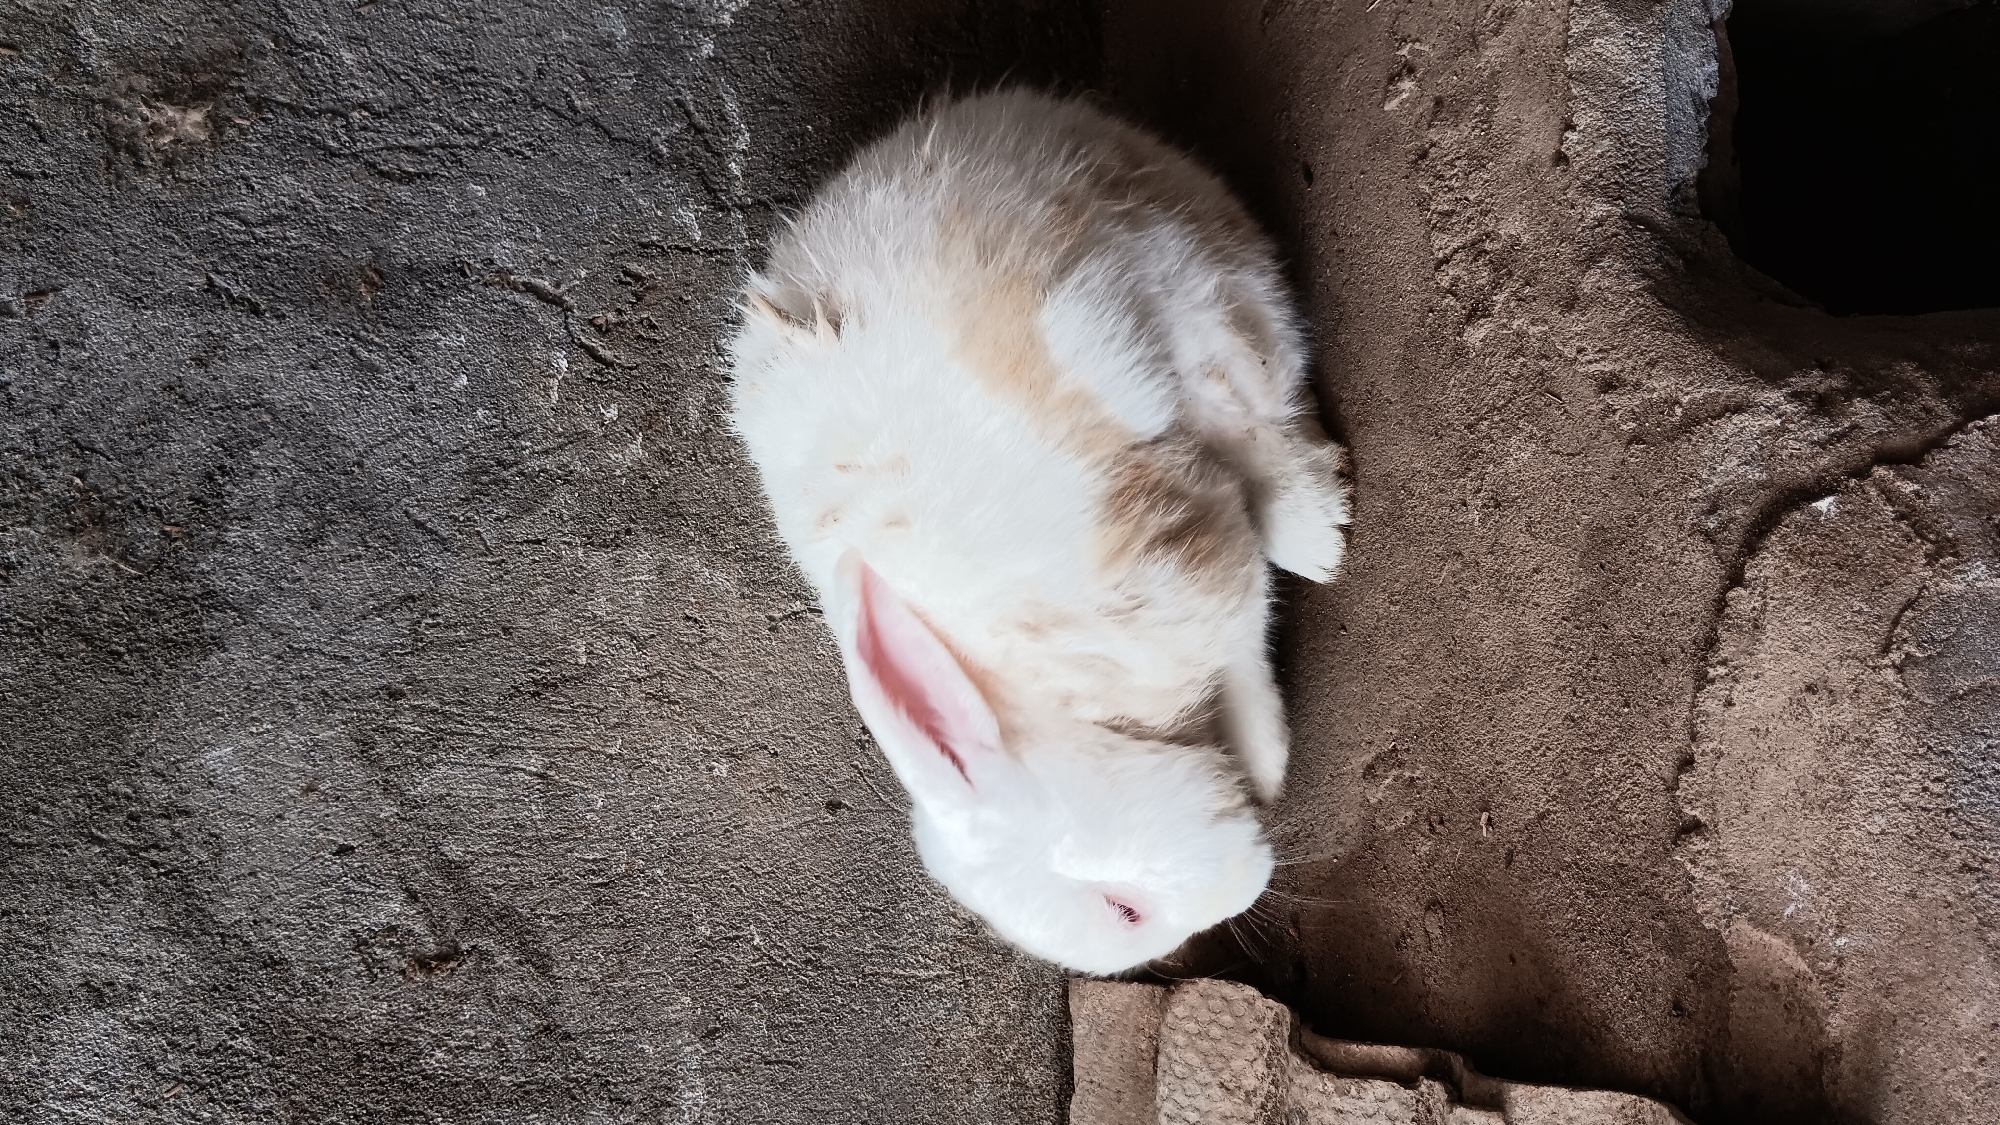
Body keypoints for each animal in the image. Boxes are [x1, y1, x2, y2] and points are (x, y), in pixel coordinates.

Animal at [727, 89, 1349, 974]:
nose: (1237, 896)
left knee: (1264, 398)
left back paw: (1318, 530)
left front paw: (1267, 761)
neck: (1068, 709)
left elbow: (1248, 640)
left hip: (1197, 288)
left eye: (1121, 907)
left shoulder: (1189, 571)